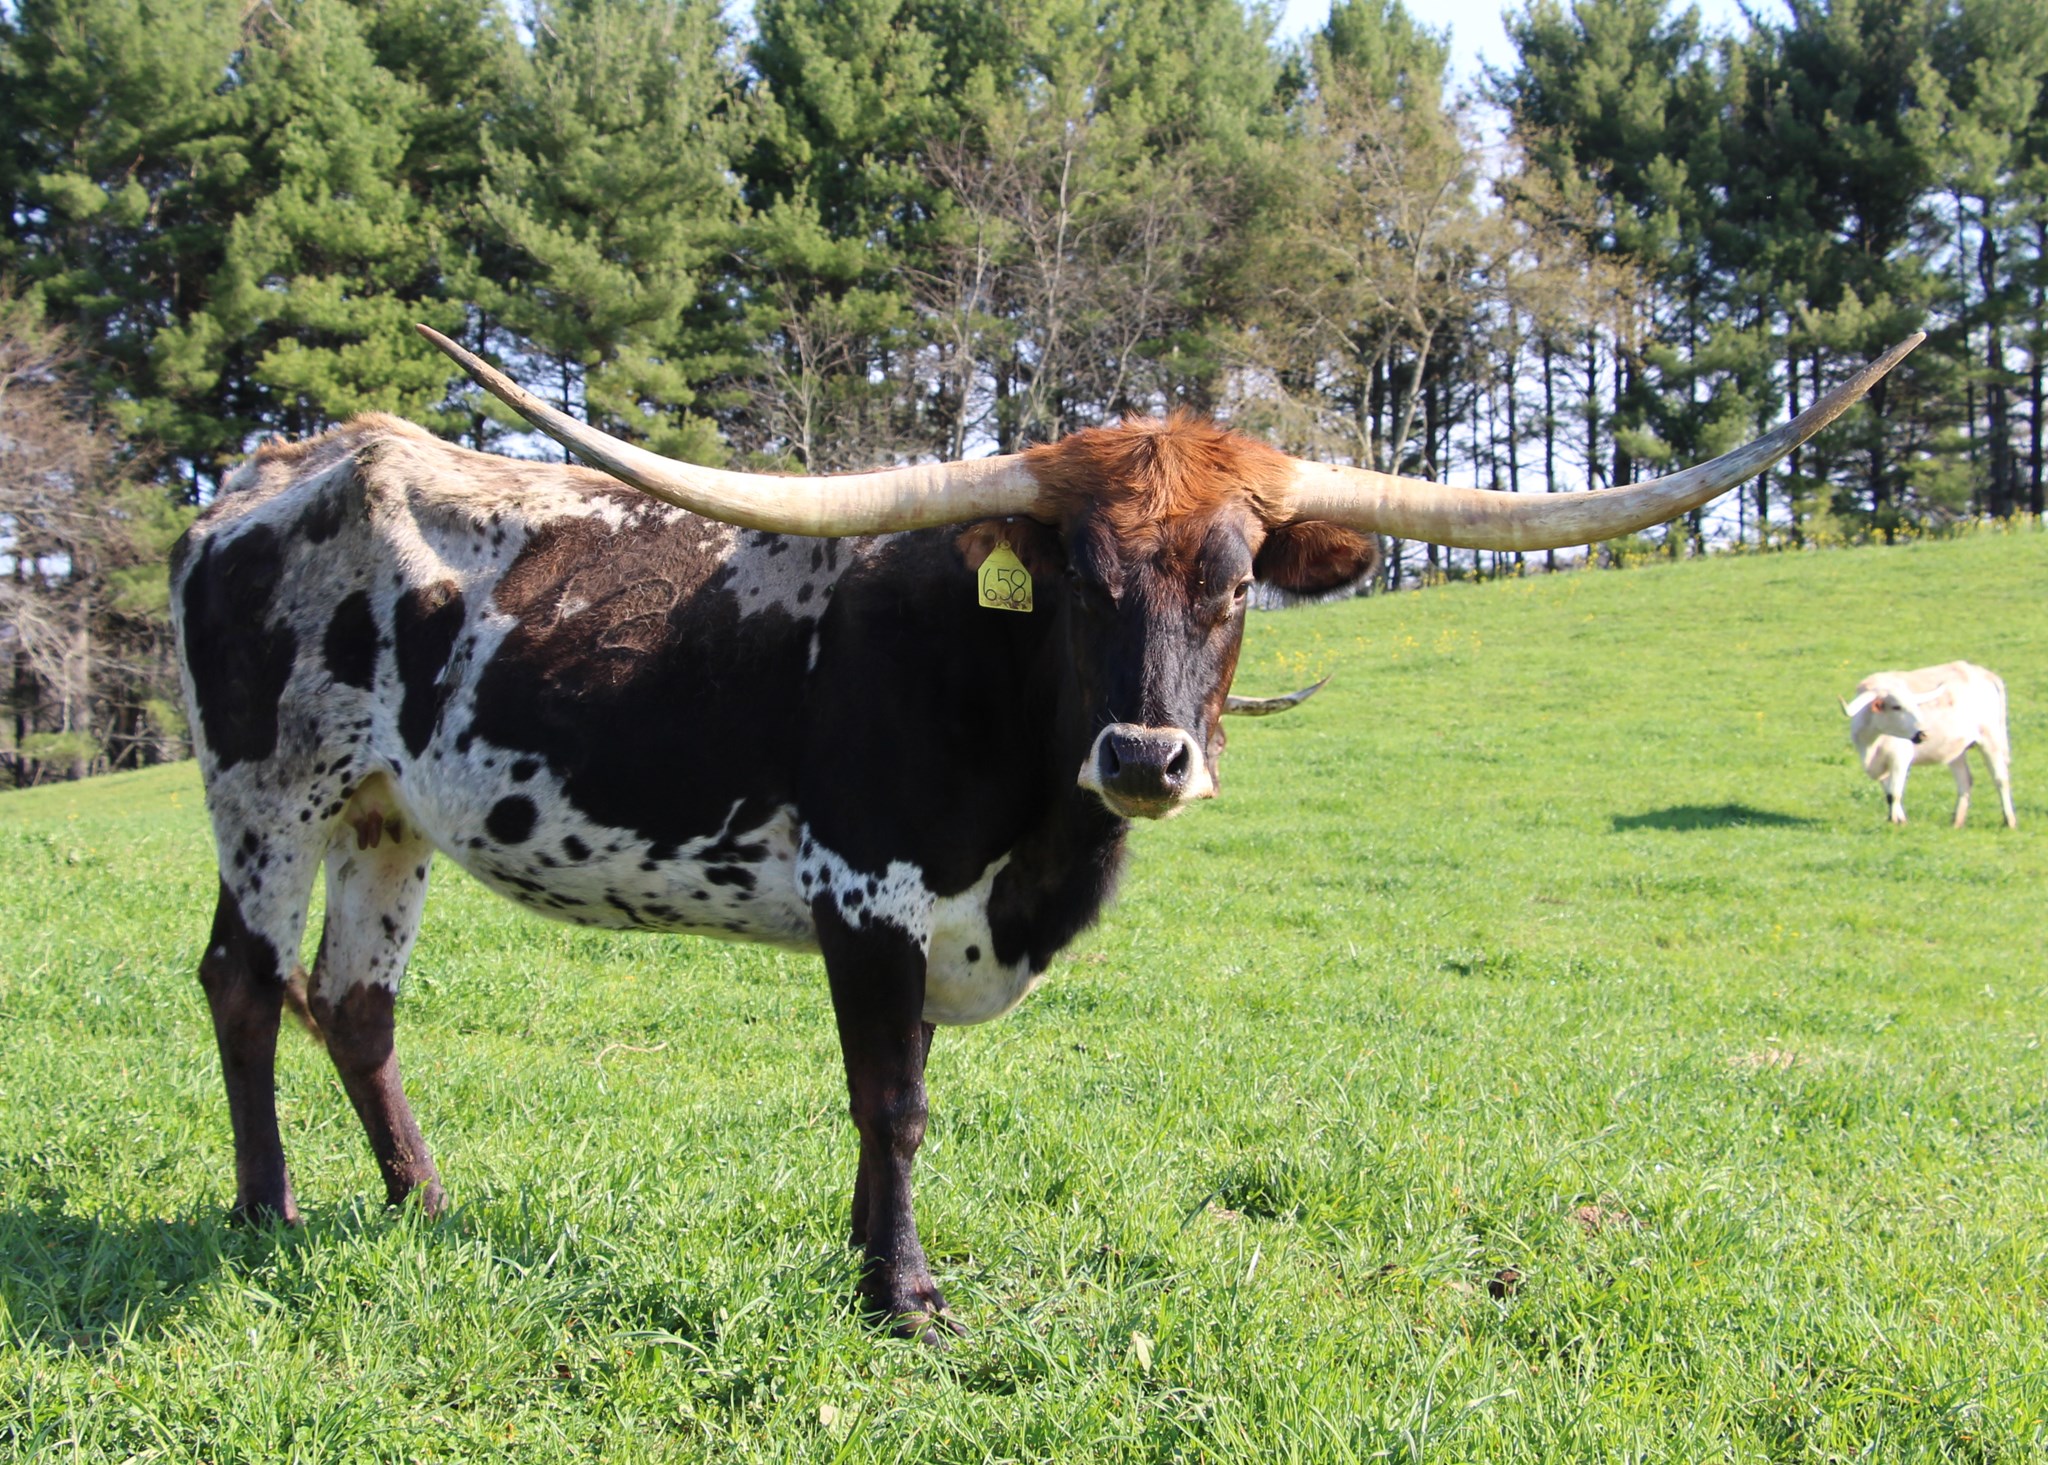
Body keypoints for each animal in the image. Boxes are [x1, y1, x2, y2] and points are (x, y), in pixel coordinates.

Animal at [169, 326, 1919, 1340]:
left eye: (1236, 576)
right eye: (1079, 578)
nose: (1147, 752)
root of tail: (275, 470)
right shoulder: (866, 896)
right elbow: (893, 1108)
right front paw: (903, 1297)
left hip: (386, 816)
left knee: (358, 1001)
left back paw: (424, 1207)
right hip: (266, 793)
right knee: (246, 983)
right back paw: (268, 1214)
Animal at [1841, 661, 2016, 828]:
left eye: (1915, 704)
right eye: (1896, 706)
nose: (1923, 733)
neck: (1872, 742)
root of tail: (1982, 673)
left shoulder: (1900, 758)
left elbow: (1895, 793)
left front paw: (1896, 822)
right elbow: (1888, 792)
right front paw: (1900, 819)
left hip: (1990, 740)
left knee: (2001, 779)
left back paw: (2009, 821)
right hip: (1955, 751)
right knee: (1965, 781)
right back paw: (1957, 823)